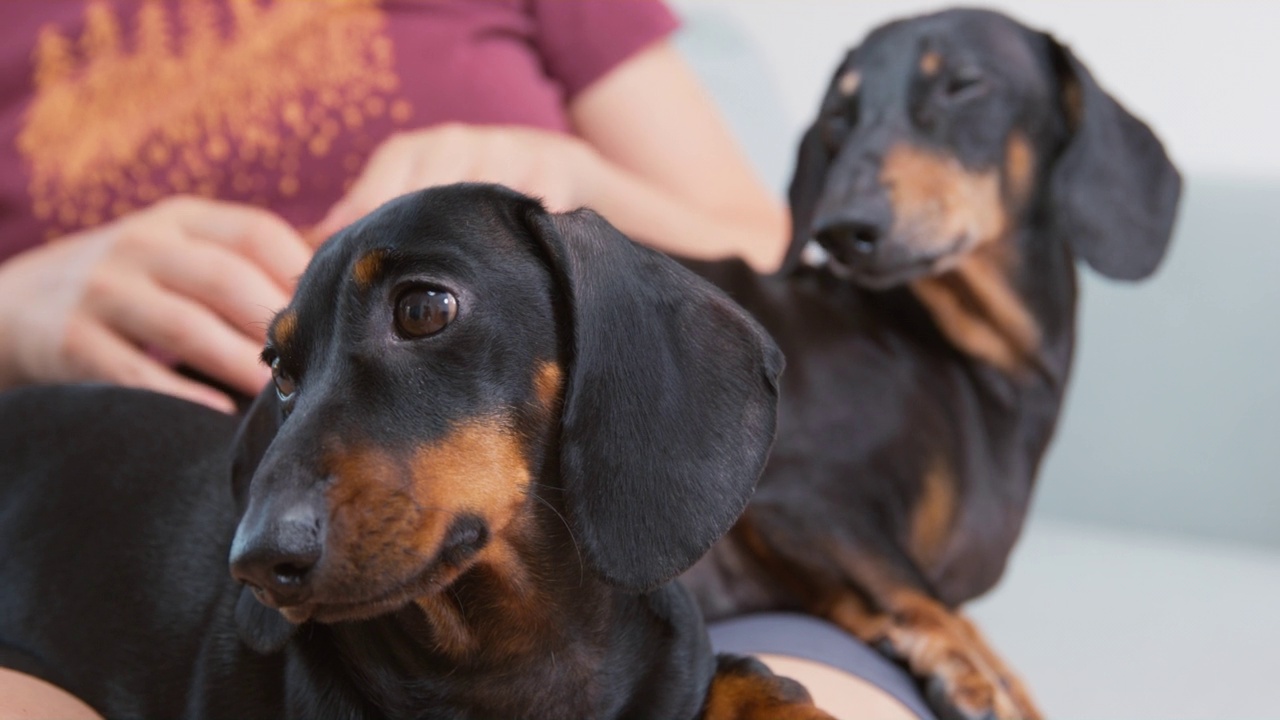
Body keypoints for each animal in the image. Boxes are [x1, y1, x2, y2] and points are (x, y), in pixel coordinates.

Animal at [680, 9, 1177, 717]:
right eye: (838, 114)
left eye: (964, 85)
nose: (842, 227)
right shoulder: (798, 493)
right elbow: (913, 586)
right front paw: (969, 671)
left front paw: (1001, 676)